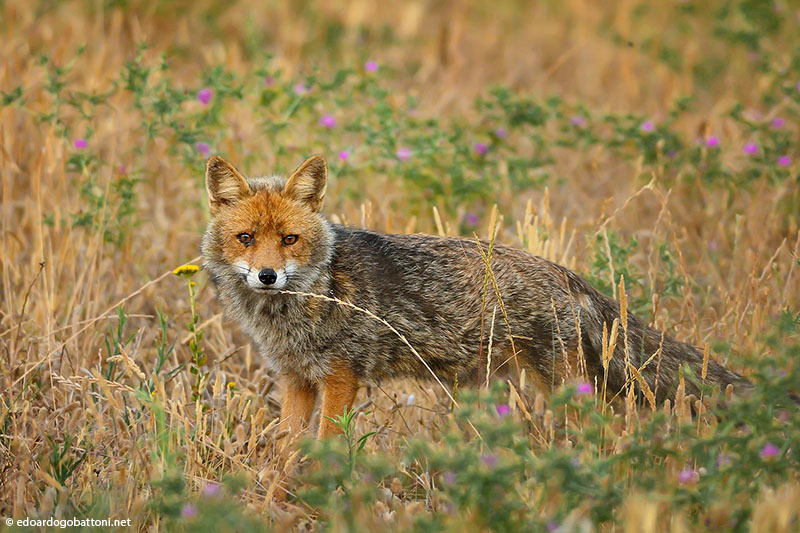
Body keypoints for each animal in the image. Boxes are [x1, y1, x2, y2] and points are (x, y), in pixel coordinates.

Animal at [201, 155, 749, 438]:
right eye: (246, 238)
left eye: (289, 239)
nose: (268, 275)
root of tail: (568, 276)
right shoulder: (296, 380)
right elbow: (285, 453)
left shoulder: (340, 379)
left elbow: (325, 449)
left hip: (567, 388)